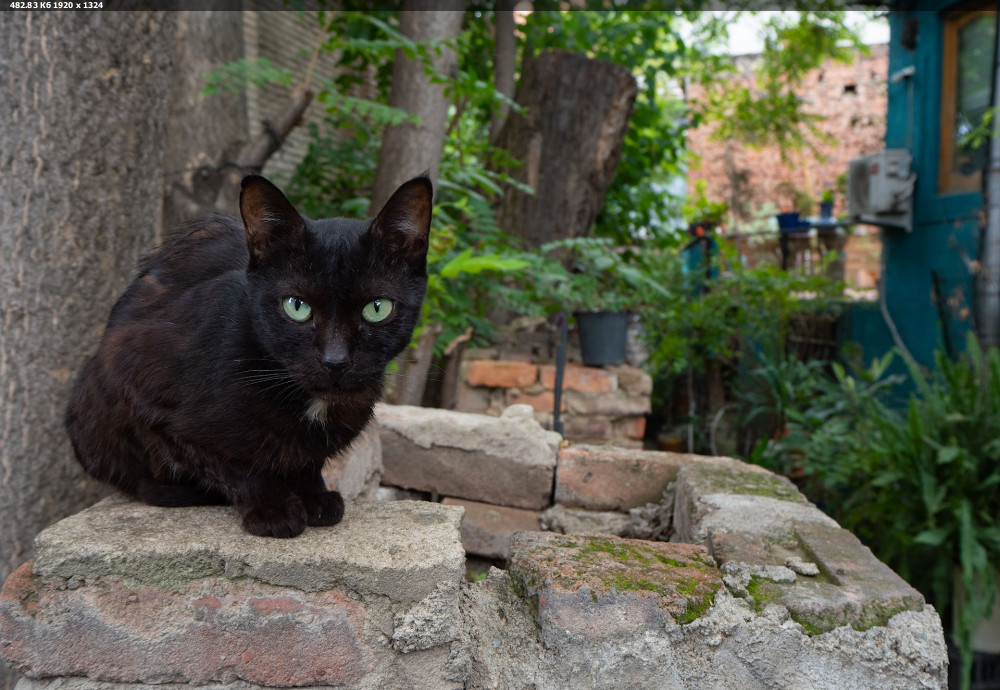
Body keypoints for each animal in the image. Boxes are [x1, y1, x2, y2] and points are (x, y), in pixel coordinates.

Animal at [65, 174, 431, 538]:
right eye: (296, 306)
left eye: (377, 308)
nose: (335, 361)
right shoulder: (139, 387)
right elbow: (234, 464)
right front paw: (272, 509)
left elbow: (305, 459)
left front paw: (313, 496)